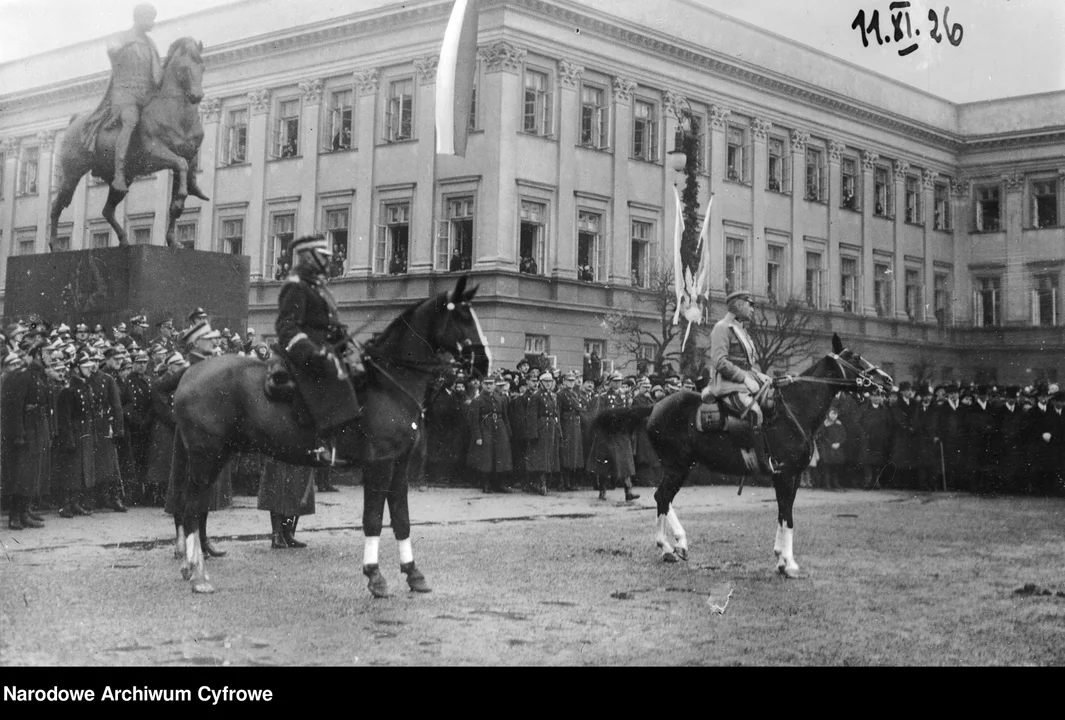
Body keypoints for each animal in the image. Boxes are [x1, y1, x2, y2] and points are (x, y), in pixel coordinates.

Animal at [50, 36, 208, 250]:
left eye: (202, 66)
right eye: (184, 67)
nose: (197, 96)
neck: (177, 116)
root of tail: (75, 120)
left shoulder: (186, 159)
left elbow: (175, 204)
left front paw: (174, 240)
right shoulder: (156, 154)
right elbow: (181, 165)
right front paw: (181, 198)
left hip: (123, 180)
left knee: (107, 211)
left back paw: (124, 240)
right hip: (72, 175)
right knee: (57, 205)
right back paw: (53, 246)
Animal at [172, 279, 492, 592]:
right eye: (463, 317)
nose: (485, 363)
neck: (388, 384)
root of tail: (189, 373)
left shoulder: (399, 466)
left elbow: (402, 520)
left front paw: (413, 573)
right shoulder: (379, 465)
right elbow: (373, 520)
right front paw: (375, 575)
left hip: (216, 456)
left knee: (194, 506)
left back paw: (191, 565)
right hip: (206, 456)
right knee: (190, 507)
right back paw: (198, 573)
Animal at [596, 334, 894, 575]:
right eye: (854, 357)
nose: (888, 381)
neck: (795, 408)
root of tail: (655, 406)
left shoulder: (792, 476)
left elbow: (783, 512)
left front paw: (780, 557)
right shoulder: (785, 474)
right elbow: (787, 514)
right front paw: (788, 563)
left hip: (682, 465)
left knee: (664, 498)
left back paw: (672, 546)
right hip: (677, 465)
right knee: (662, 497)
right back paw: (671, 546)